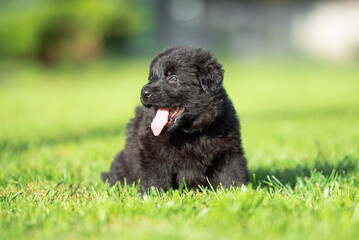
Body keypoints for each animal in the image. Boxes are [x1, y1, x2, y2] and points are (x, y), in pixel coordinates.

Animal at [102, 46, 250, 189]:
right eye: (151, 77)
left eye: (173, 78)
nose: (144, 93)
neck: (189, 133)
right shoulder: (153, 153)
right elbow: (154, 180)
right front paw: (151, 195)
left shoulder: (229, 151)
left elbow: (233, 174)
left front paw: (240, 192)